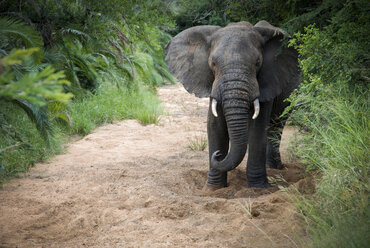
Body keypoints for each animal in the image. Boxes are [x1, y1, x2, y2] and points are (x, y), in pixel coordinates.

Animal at [165, 20, 300, 188]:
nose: (217, 155)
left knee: (276, 125)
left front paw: (258, 188)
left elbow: (258, 128)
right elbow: (214, 126)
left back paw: (274, 168)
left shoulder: (267, 81)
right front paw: (213, 188)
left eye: (258, 63)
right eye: (213, 63)